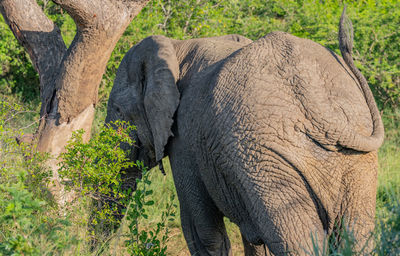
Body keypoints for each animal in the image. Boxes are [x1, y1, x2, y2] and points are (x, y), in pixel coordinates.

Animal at [106, 8, 384, 256]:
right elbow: (255, 241)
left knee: (298, 241)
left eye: (118, 110)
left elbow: (203, 233)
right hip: (353, 159)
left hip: (259, 155)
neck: (176, 47)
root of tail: (311, 94)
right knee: (354, 236)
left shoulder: (184, 137)